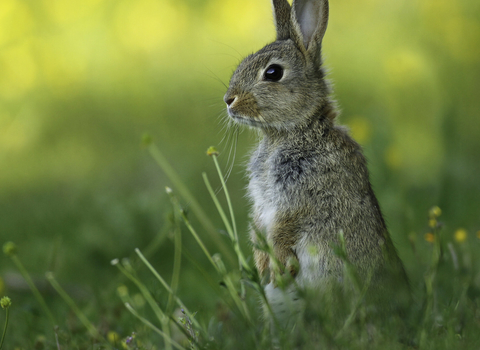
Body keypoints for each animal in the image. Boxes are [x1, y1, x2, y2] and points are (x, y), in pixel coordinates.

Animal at [224, 0, 408, 326]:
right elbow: (258, 226)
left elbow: (284, 228)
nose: (228, 100)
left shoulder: (302, 198)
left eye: (273, 72)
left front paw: (277, 264)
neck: (295, 131)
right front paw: (262, 265)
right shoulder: (262, 203)